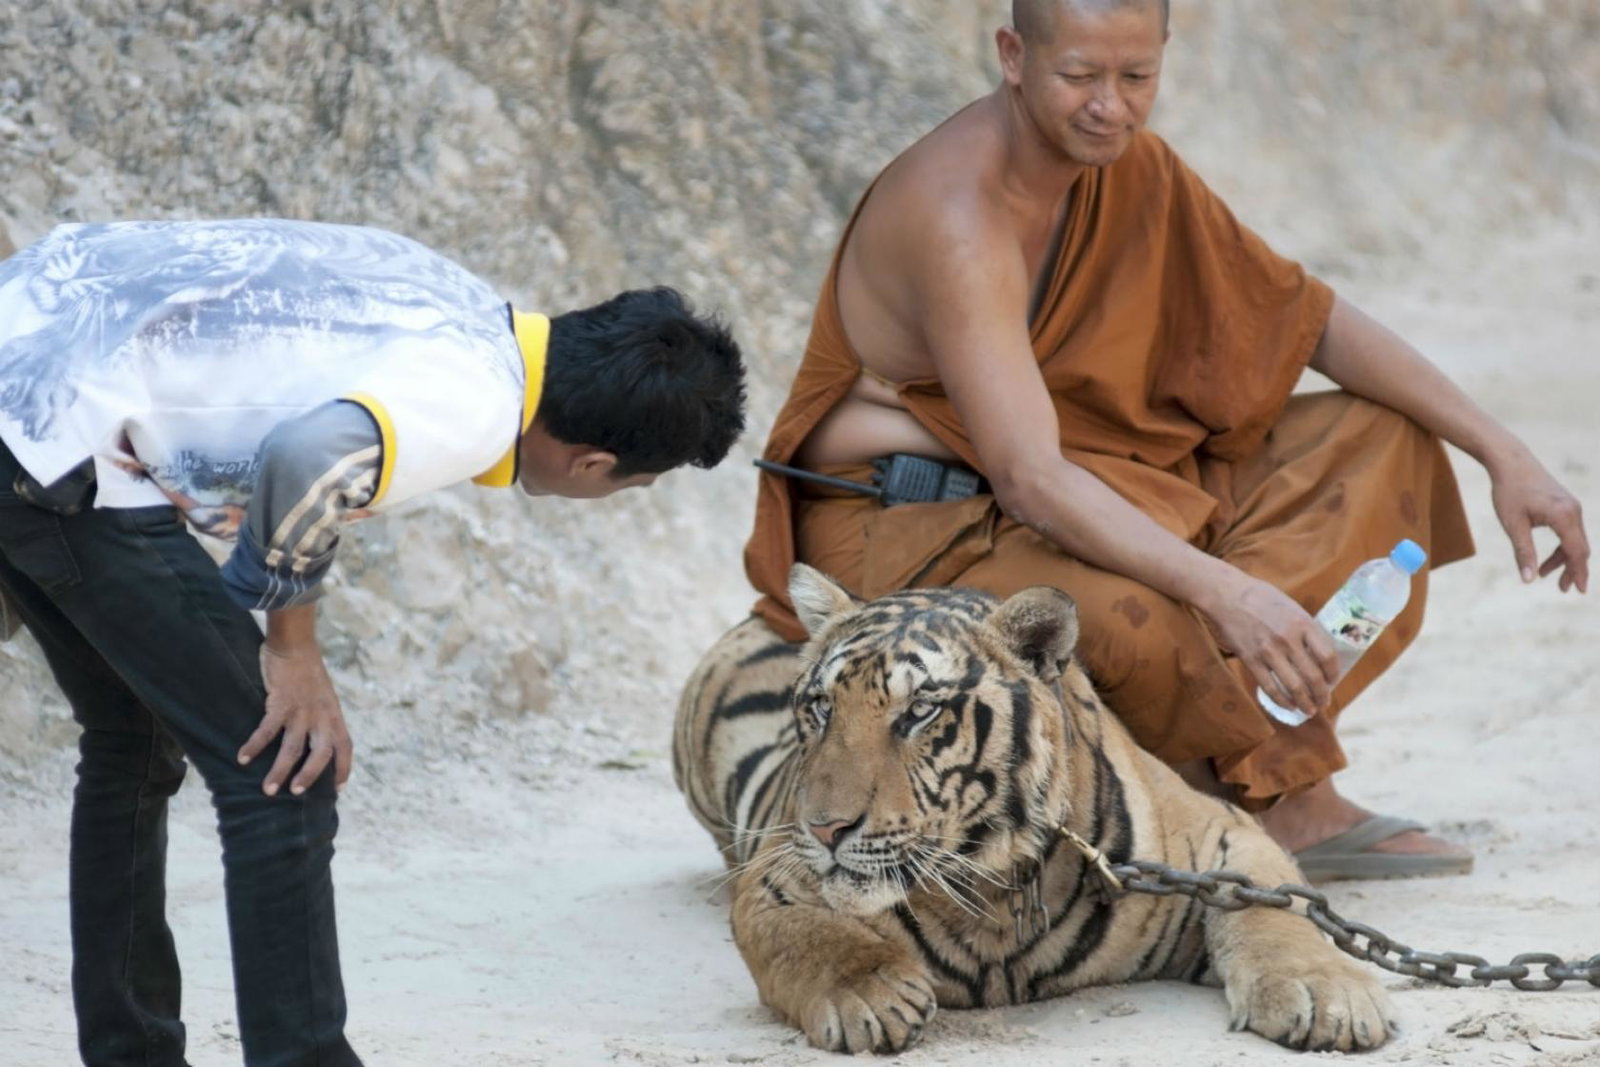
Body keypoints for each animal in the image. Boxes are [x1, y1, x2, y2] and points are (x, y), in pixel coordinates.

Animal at [672, 564, 1395, 1054]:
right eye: (820, 707)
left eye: (920, 711)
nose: (825, 828)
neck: (992, 892)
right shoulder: (775, 874)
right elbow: (800, 934)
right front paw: (869, 994)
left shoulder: (1224, 834)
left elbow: (1278, 909)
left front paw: (1326, 993)